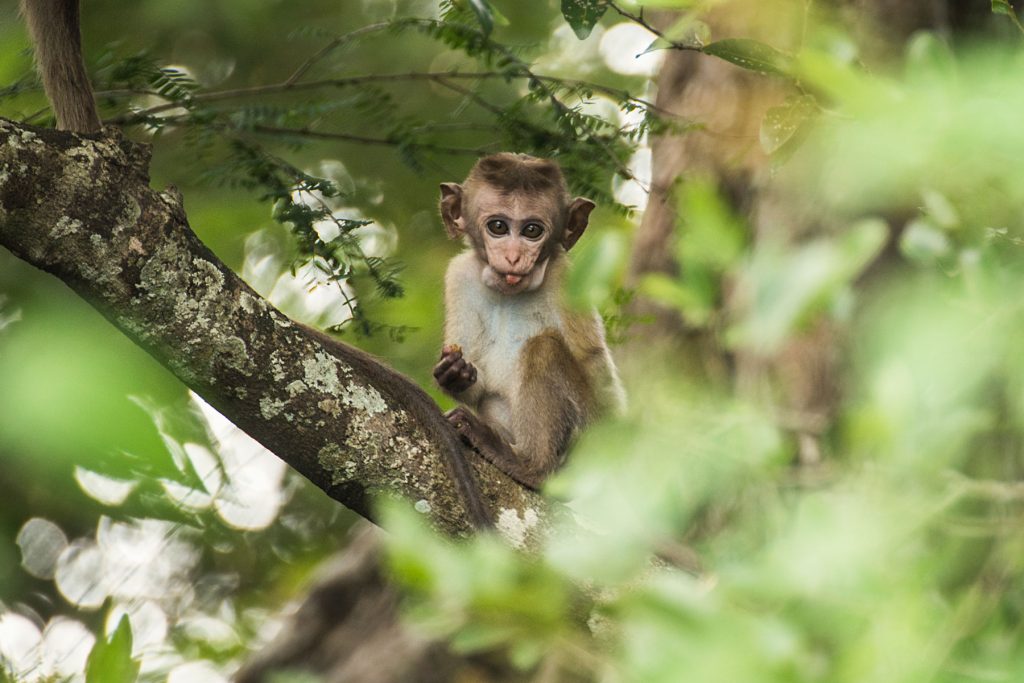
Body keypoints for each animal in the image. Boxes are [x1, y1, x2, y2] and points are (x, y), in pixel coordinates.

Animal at [432, 152, 622, 489]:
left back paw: (529, 465)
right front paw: (455, 373)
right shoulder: (460, 276)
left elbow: (592, 360)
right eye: (498, 226)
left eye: (532, 231)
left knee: (544, 350)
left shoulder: (564, 277)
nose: (513, 256)